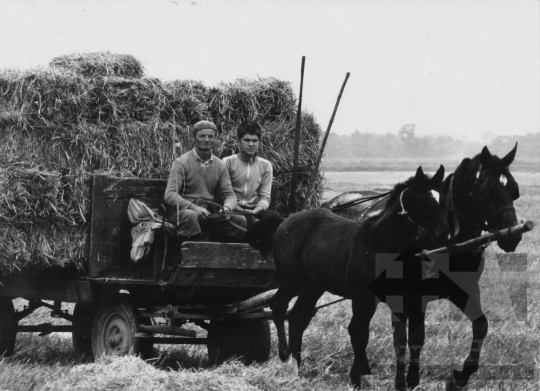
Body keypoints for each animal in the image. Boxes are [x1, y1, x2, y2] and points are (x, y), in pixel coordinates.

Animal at [260, 167, 450, 390]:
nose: (444, 234)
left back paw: (295, 366)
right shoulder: (363, 298)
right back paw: (284, 356)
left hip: (312, 285)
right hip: (291, 279)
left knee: (297, 316)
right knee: (278, 306)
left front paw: (402, 383)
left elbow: (404, 340)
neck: (379, 243)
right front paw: (361, 376)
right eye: (422, 199)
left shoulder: (403, 300)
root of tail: (285, 221)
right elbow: (359, 333)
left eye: (442, 198)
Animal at [322, 145, 520, 390]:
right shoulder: (411, 297)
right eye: (488, 190)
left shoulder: (464, 290)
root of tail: (331, 203)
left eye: (513, 189)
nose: (514, 236)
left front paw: (460, 376)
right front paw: (405, 380)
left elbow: (480, 325)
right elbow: (409, 338)